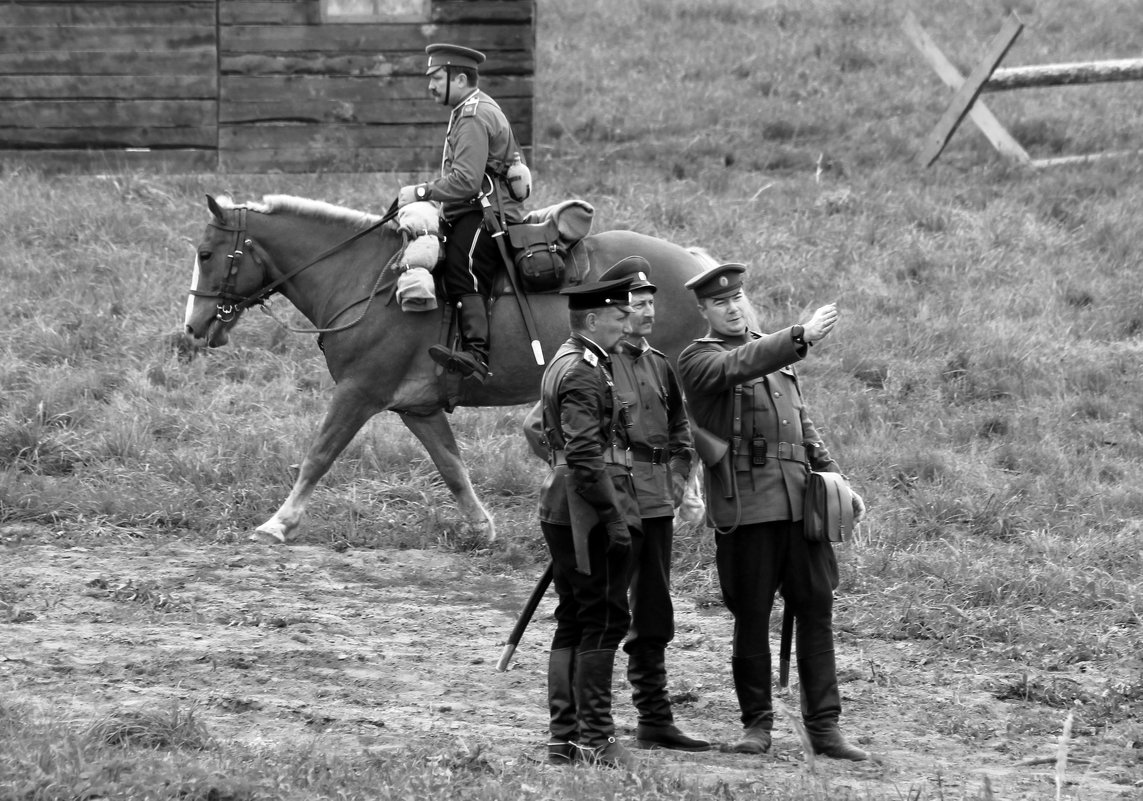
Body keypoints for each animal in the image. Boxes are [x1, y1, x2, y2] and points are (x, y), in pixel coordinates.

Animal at [182, 195, 708, 543]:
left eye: (206, 254)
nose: (193, 325)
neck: (362, 279)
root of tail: (696, 264)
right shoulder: (418, 409)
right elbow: (452, 466)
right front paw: (481, 526)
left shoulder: (357, 393)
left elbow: (319, 456)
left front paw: (279, 522)